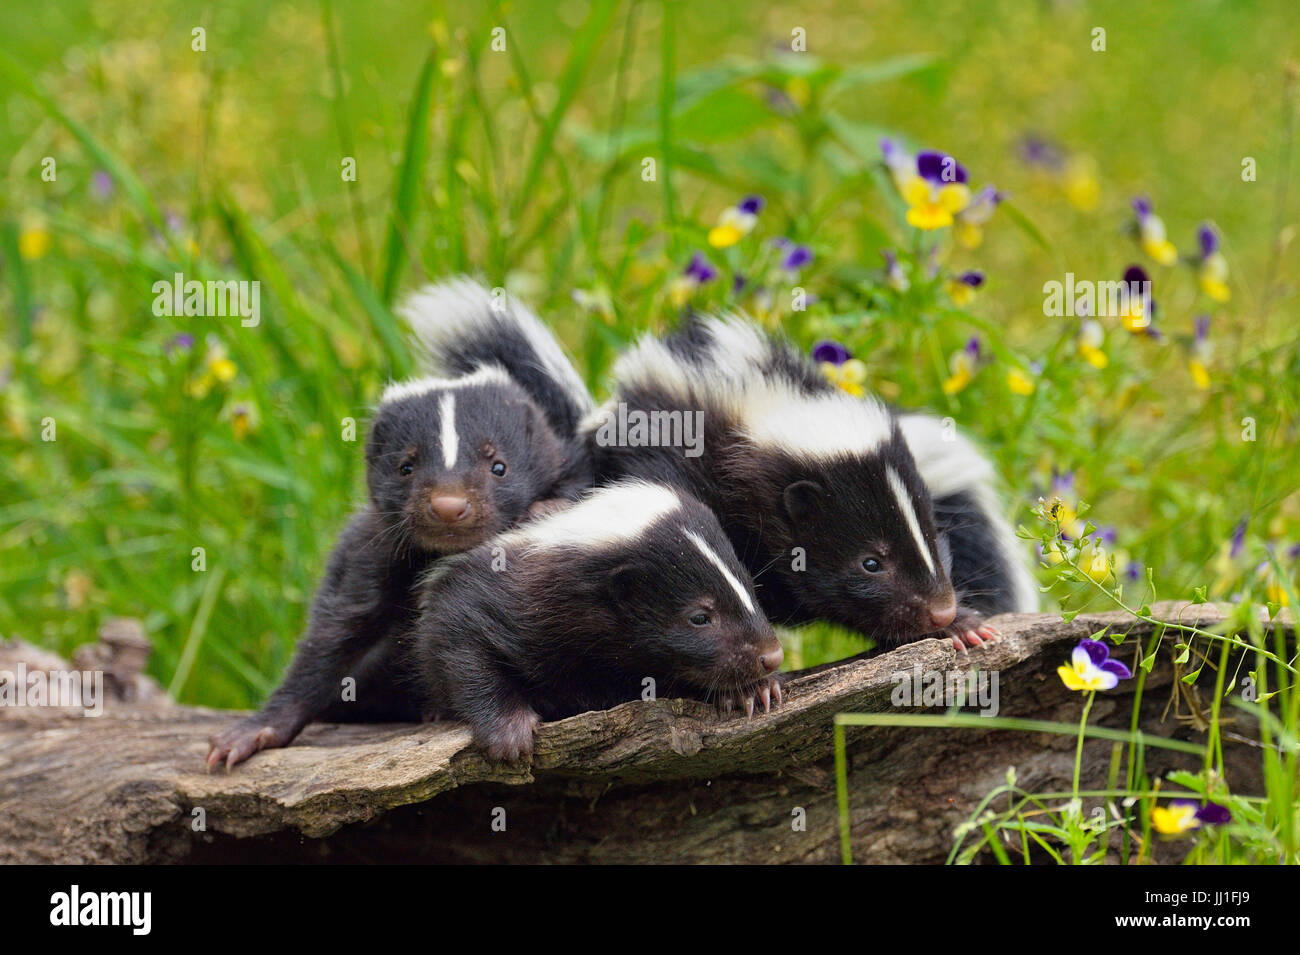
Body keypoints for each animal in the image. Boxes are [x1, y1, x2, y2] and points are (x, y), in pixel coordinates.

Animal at [410, 480, 785, 764]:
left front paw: (754, 690)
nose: (772, 656)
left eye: (751, 587)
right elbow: (459, 636)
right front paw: (509, 731)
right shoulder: (504, 601)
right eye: (700, 617)